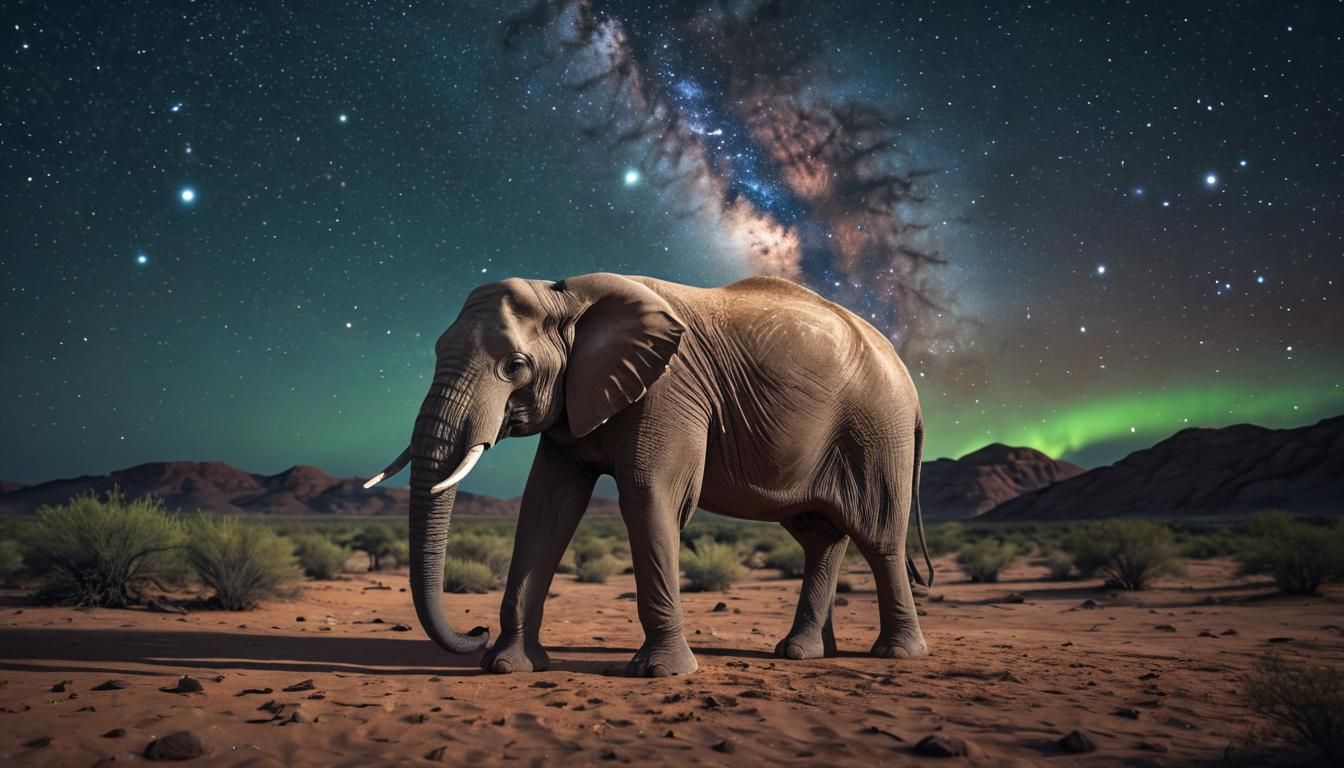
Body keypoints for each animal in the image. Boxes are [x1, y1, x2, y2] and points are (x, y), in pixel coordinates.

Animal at [365, 272, 932, 677]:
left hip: (876, 432)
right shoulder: (577, 398)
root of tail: (908, 379)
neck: (568, 297)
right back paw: (802, 652)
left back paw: (896, 655)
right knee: (821, 536)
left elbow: (649, 495)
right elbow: (547, 508)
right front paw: (507, 666)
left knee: (879, 537)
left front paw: (661, 673)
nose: (475, 629)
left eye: (515, 366)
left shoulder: (668, 388)